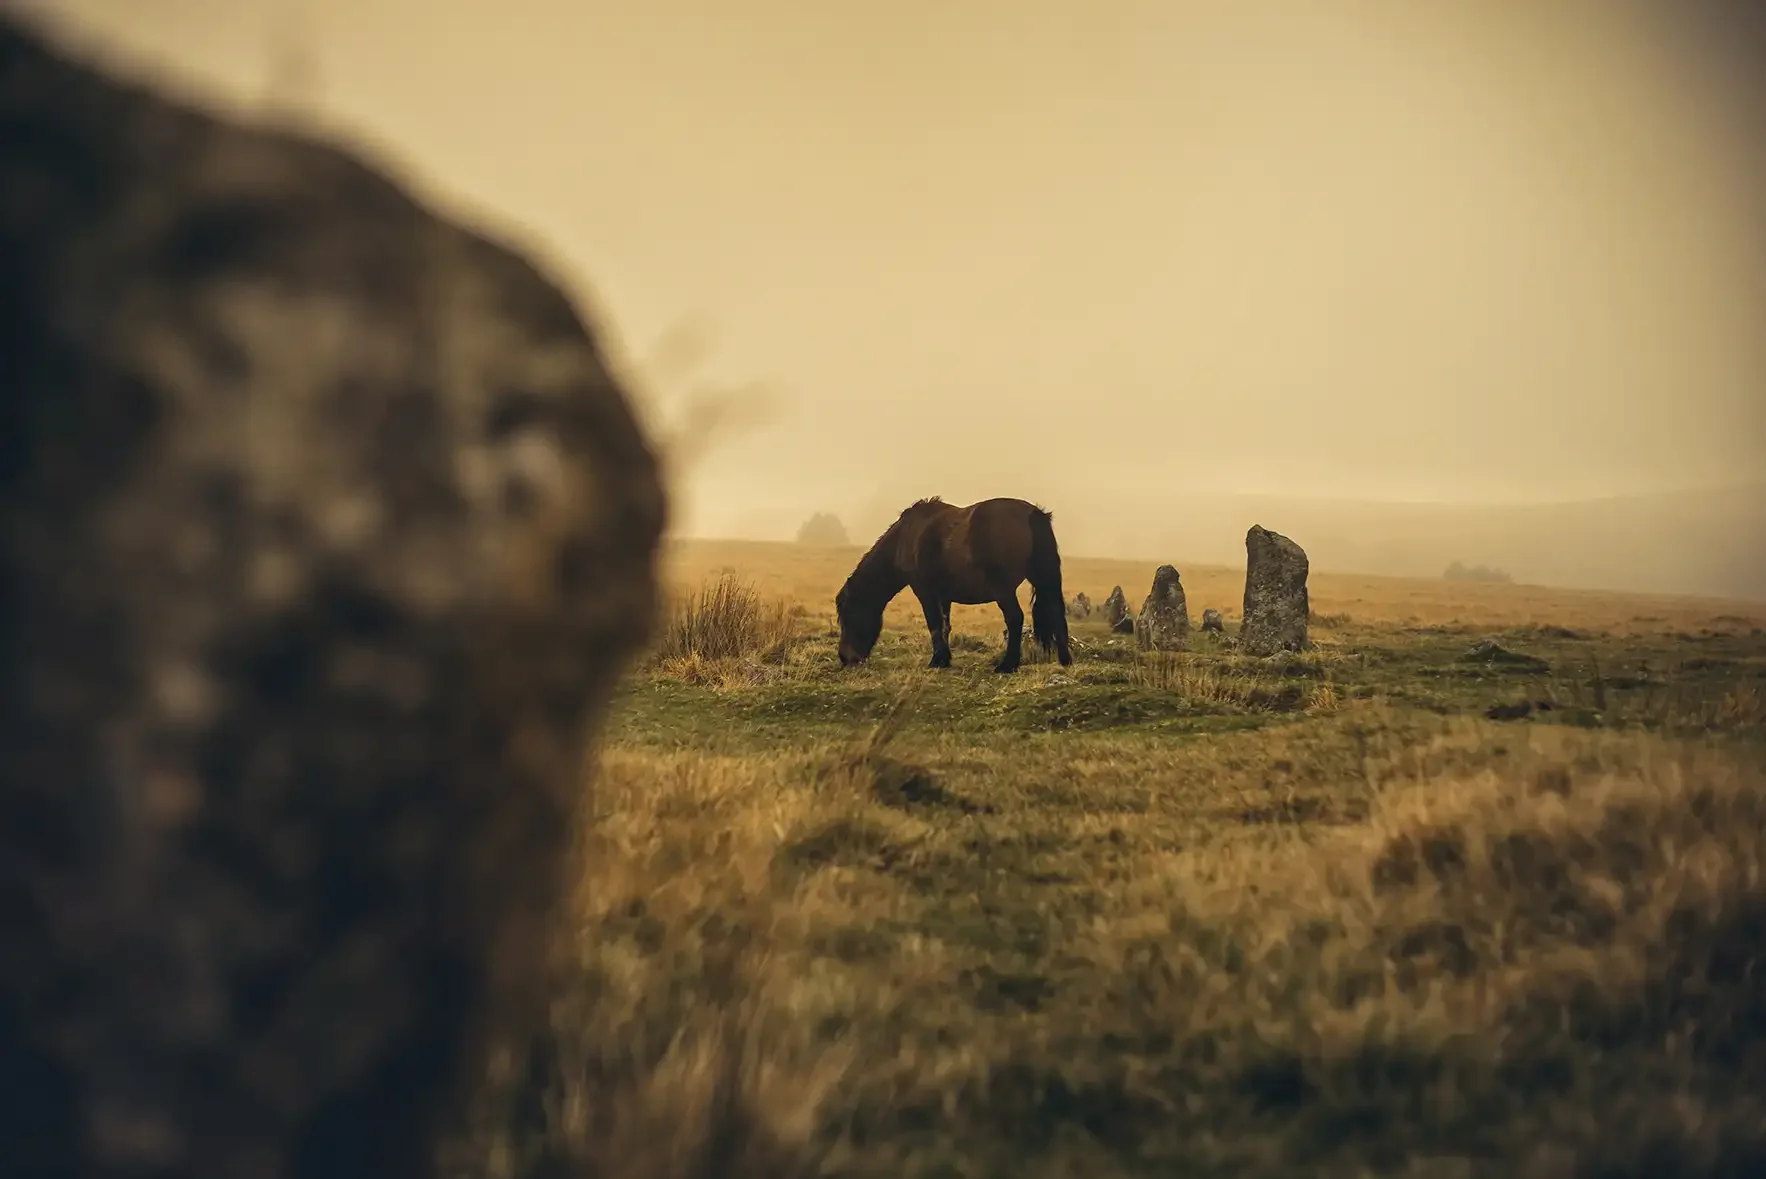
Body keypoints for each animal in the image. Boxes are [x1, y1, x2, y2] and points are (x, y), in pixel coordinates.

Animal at [835, 497, 1073, 673]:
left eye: (848, 617)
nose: (845, 658)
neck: (907, 537)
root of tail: (1033, 513)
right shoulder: (944, 595)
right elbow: (945, 626)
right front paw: (944, 659)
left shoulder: (925, 592)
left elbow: (934, 625)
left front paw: (936, 661)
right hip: (1042, 579)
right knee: (1055, 611)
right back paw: (1065, 660)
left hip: (1004, 591)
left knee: (1015, 619)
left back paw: (1007, 665)